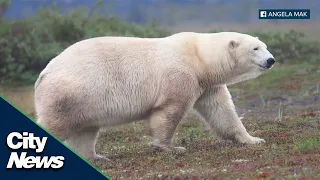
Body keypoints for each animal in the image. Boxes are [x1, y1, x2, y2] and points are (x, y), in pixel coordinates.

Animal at [34, 31, 276, 162]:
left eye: (264, 46)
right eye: (255, 48)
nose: (271, 60)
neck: (198, 59)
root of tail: (44, 74)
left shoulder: (207, 84)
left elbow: (222, 112)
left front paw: (253, 139)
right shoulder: (179, 75)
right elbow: (169, 111)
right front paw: (172, 147)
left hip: (83, 102)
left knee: (85, 131)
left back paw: (96, 156)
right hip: (70, 93)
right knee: (55, 124)